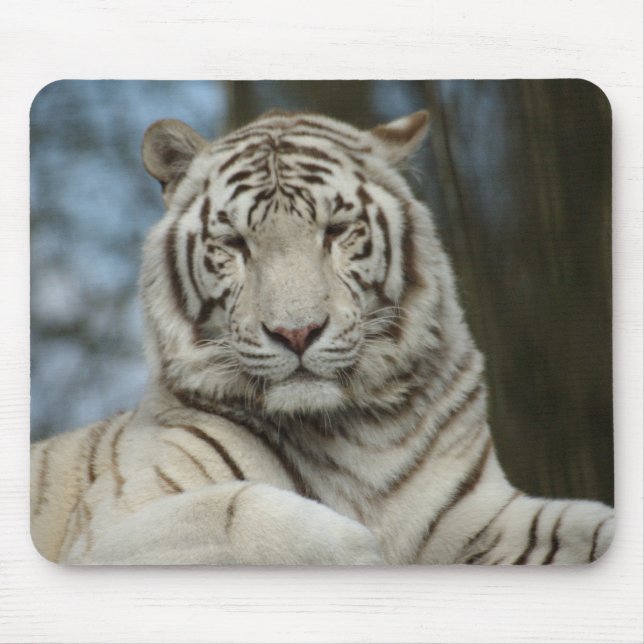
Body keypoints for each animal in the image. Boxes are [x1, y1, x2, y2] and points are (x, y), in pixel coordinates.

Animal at [30, 108, 614, 565]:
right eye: (234, 243)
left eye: (335, 231)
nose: (297, 332)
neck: (359, 432)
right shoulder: (108, 528)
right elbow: (238, 512)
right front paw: (367, 551)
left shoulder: (480, 515)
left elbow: (591, 528)